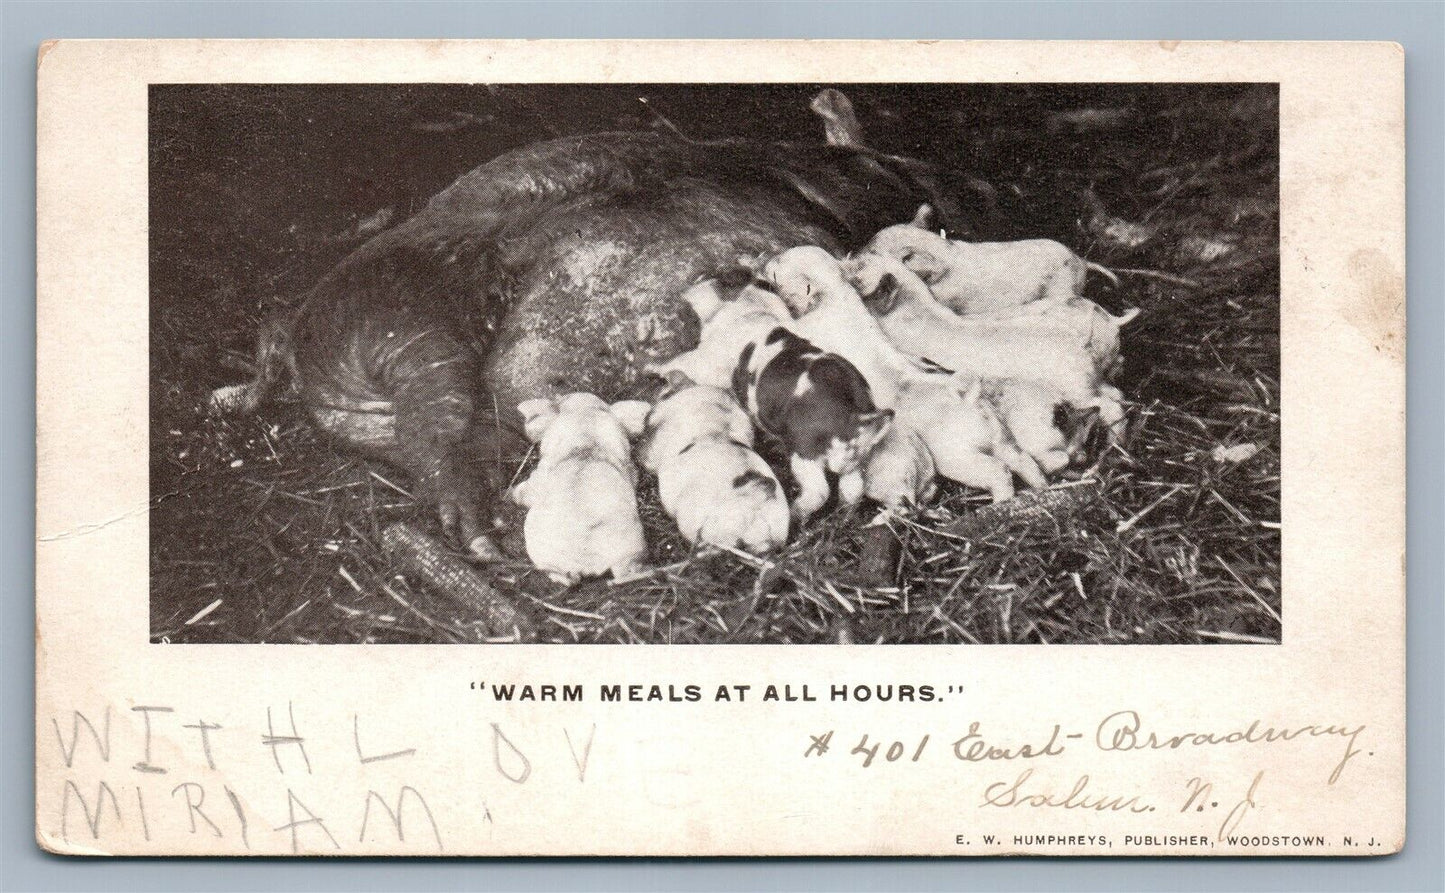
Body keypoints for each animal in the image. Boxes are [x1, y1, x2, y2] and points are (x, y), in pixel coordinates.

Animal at [509, 393, 651, 584]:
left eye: (562, 399)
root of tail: (588, 561)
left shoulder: (539, 476)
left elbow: (525, 490)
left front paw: (509, 493)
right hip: (629, 552)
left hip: (550, 558)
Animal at [732, 326, 892, 521]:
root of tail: (854, 417)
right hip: (855, 460)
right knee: (853, 488)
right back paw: (842, 517)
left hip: (805, 450)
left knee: (819, 490)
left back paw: (795, 513)